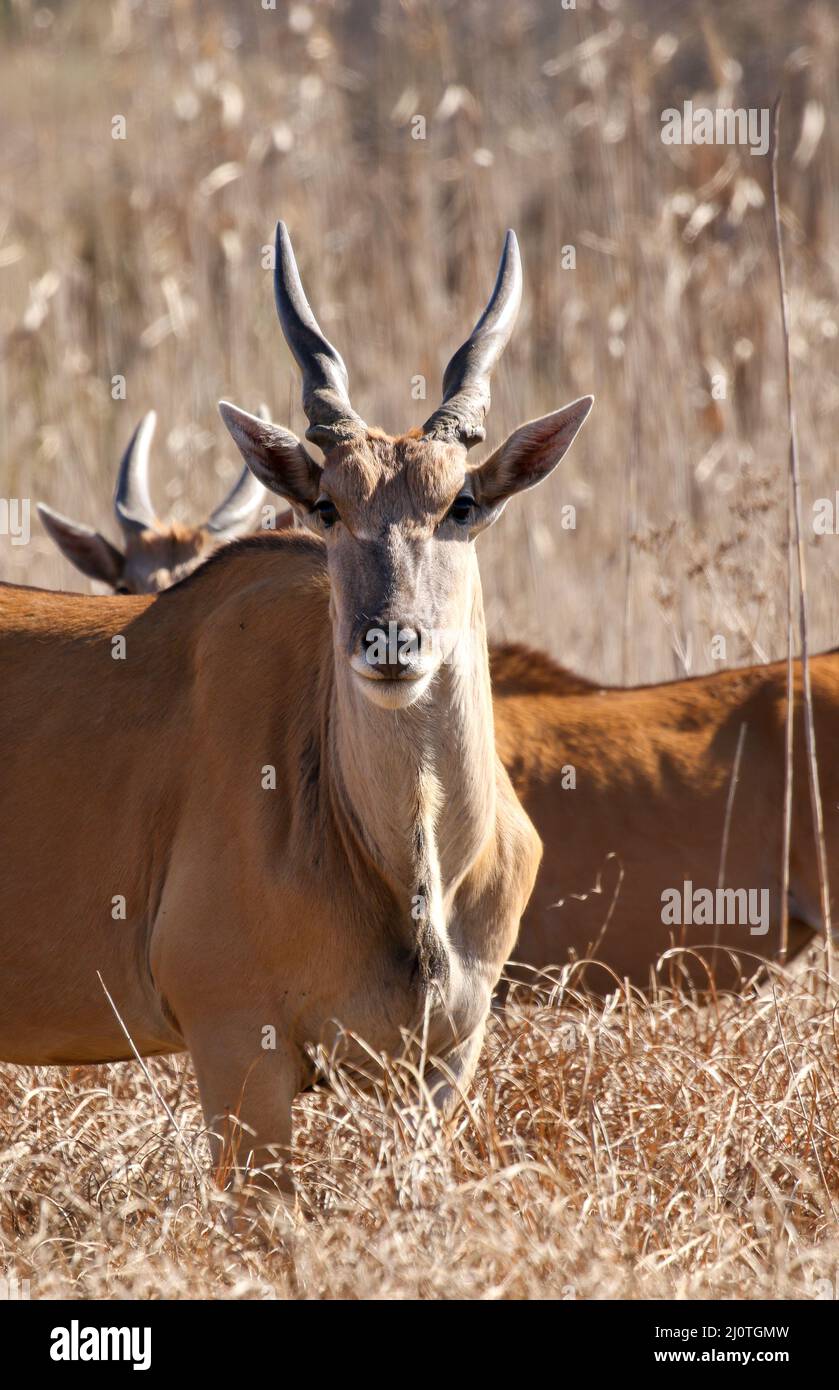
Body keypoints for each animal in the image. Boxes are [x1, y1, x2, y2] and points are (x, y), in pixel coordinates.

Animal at [0, 225, 594, 1195]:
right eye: (326, 505)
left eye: (461, 503)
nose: (390, 642)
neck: (404, 873)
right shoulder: (237, 1046)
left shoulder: (439, 1067)